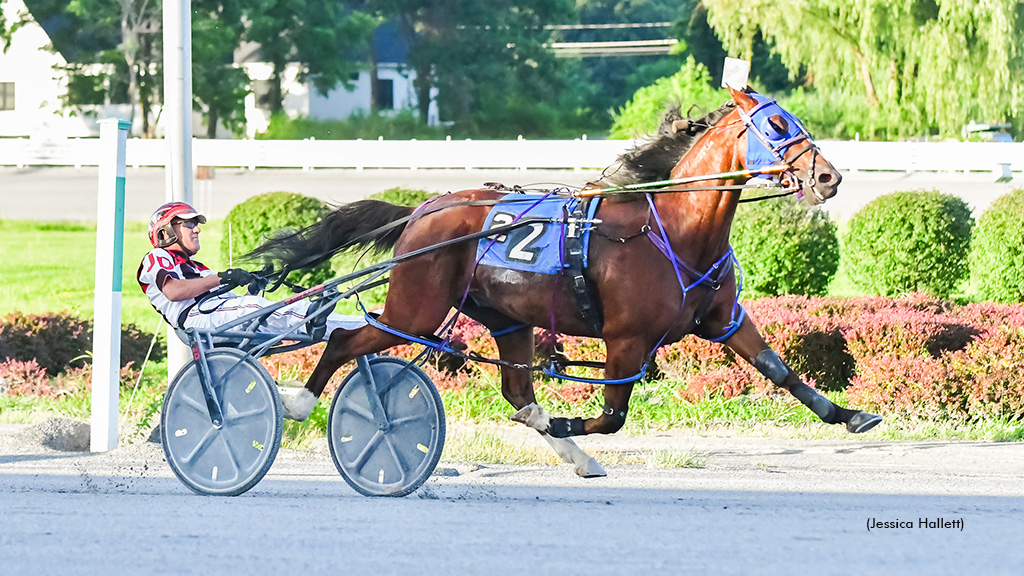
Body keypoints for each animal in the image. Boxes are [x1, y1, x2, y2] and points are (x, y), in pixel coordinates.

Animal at [245, 87, 880, 475]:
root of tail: (424, 208)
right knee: (343, 339)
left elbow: (780, 369)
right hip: (416, 308)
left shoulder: (723, 321)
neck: (673, 229)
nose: (829, 176)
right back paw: (297, 401)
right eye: (776, 123)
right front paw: (569, 417)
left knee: (517, 392)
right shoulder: (627, 338)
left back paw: (571, 451)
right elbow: (613, 415)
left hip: (507, 319)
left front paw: (851, 415)